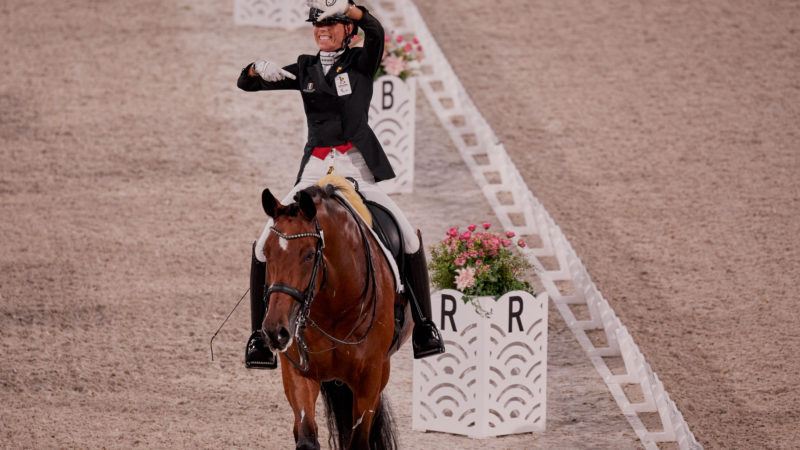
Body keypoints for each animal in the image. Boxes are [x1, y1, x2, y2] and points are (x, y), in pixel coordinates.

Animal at [260, 177, 412, 450]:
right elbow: (306, 438)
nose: (275, 332)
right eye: (266, 252)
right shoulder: (298, 373)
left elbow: (359, 441)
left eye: (310, 254)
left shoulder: (369, 380)